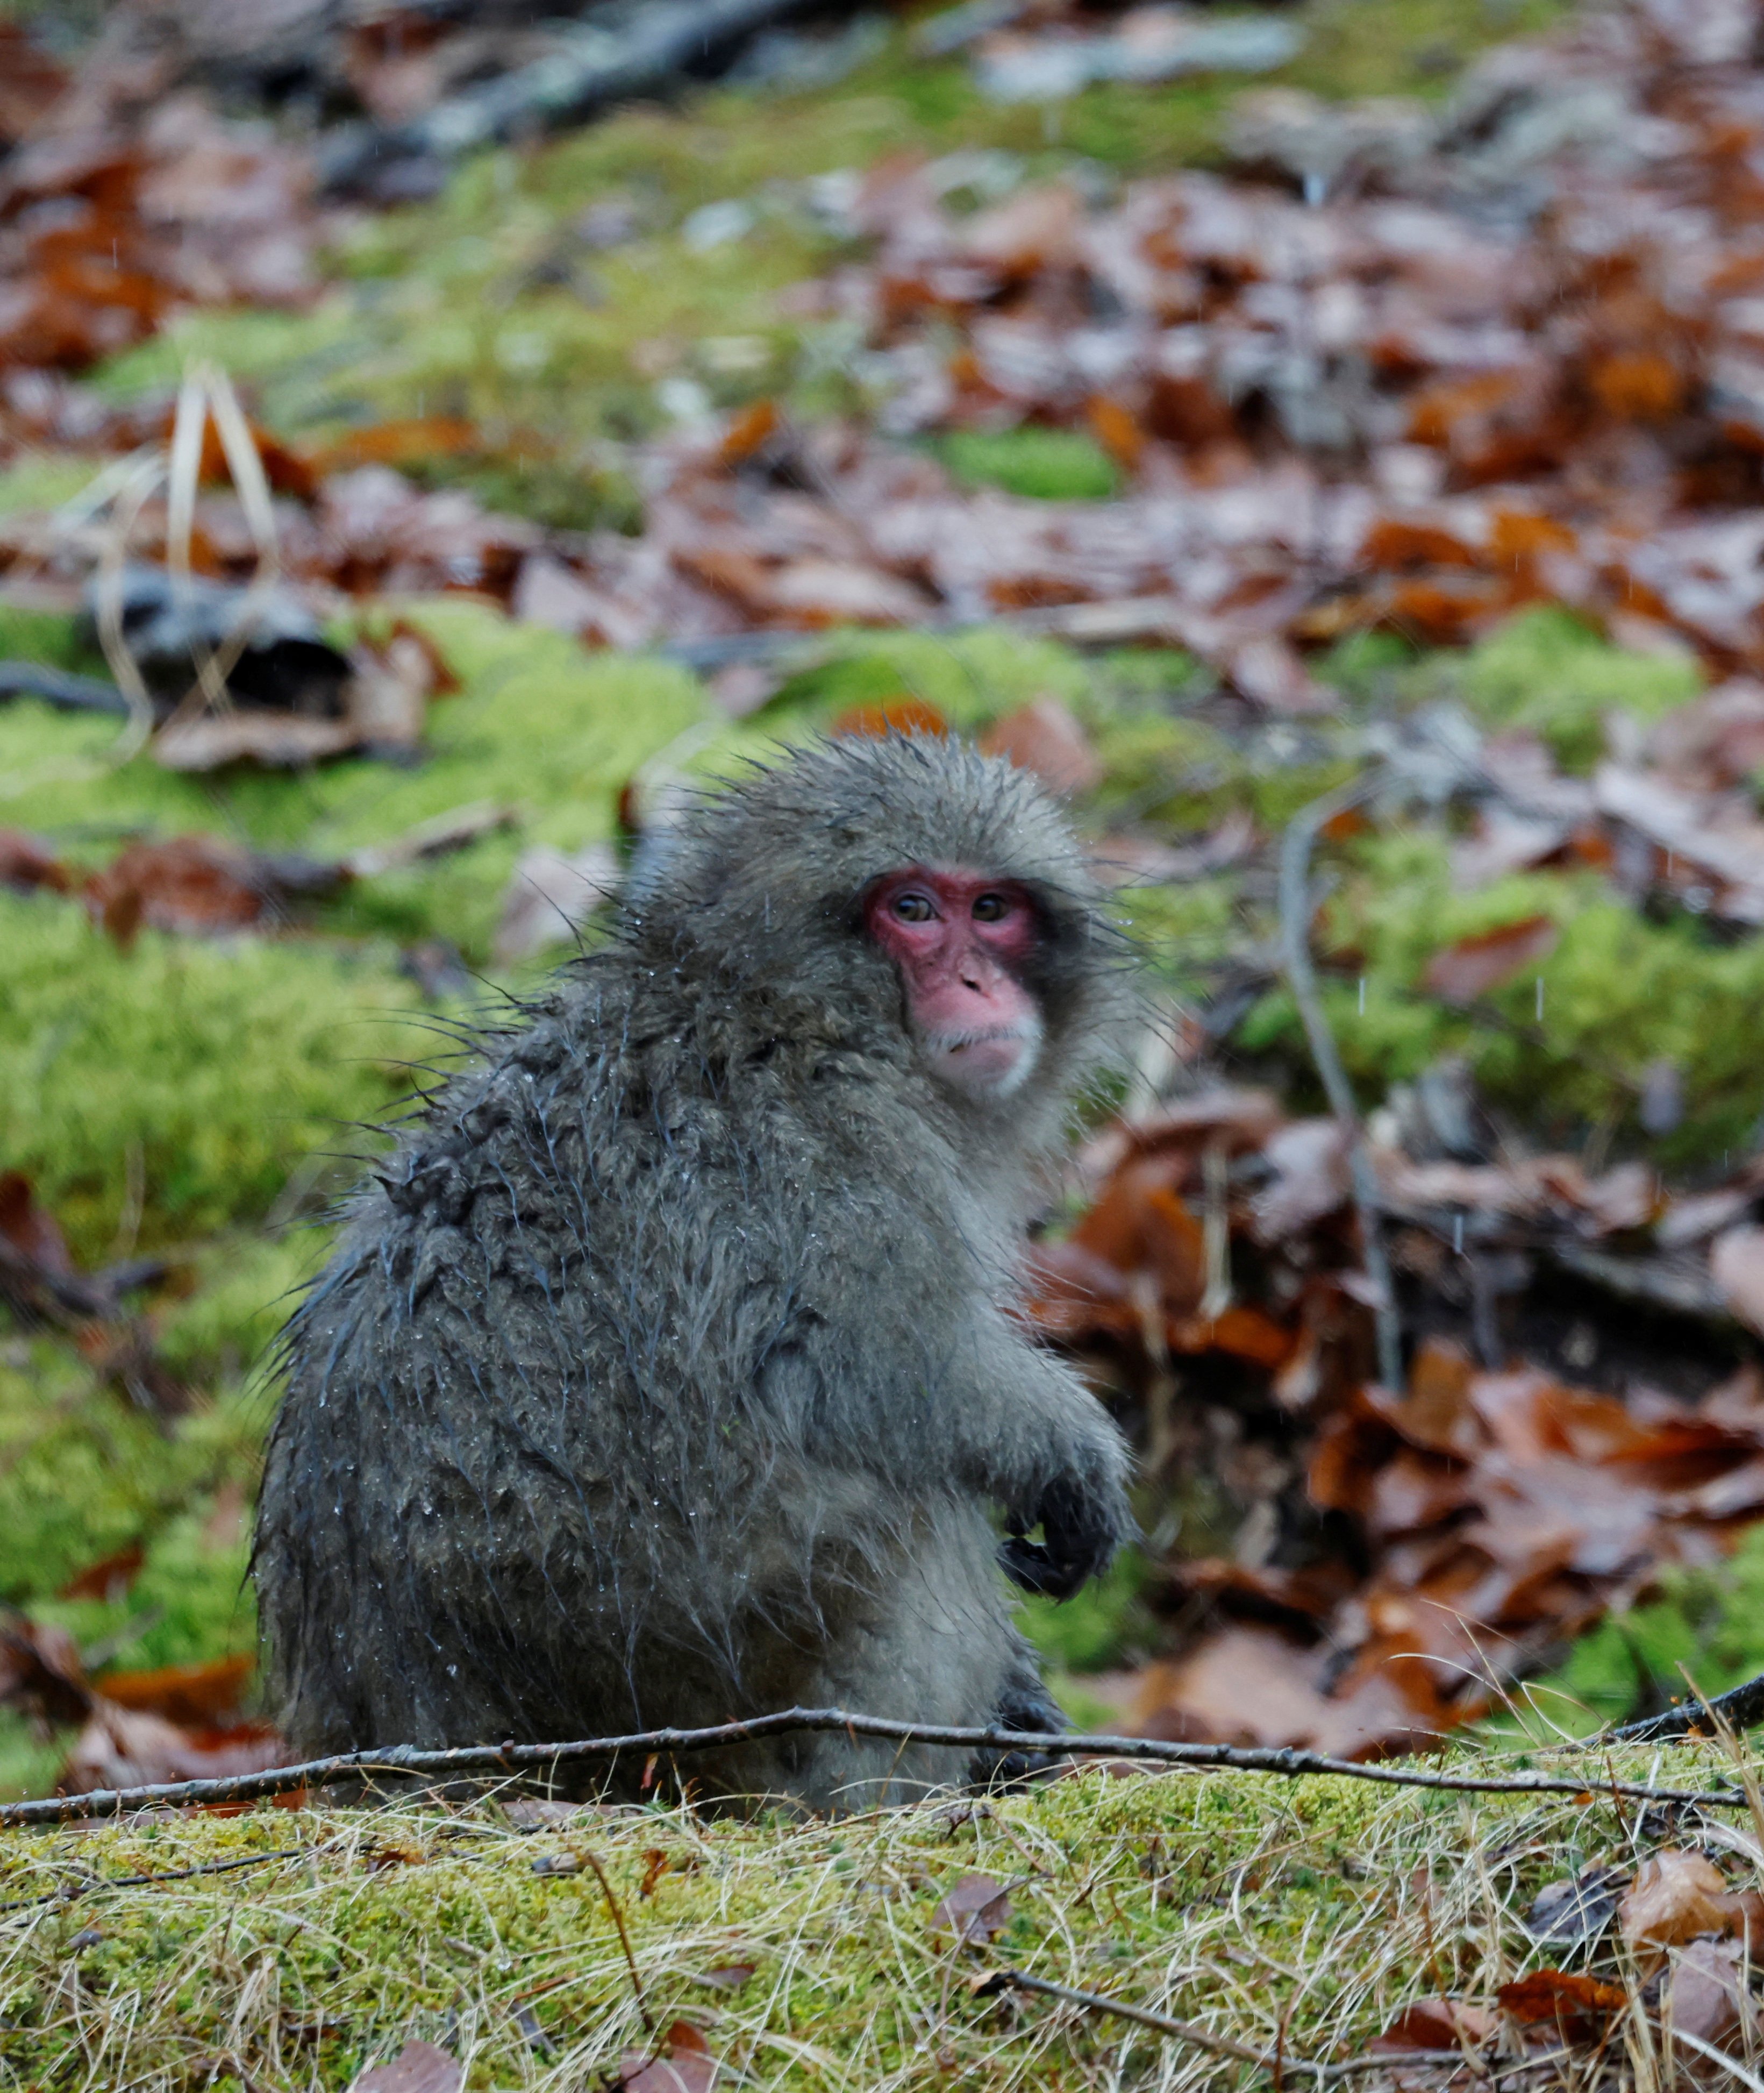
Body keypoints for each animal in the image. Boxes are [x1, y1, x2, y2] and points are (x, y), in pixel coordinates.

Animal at [253, 731, 1136, 1812]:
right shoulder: (827, 1150)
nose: (977, 985)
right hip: (675, 1663)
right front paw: (1072, 1459)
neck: (781, 1005)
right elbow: (872, 1367)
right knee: (905, 1502)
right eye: (912, 909)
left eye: (994, 910)